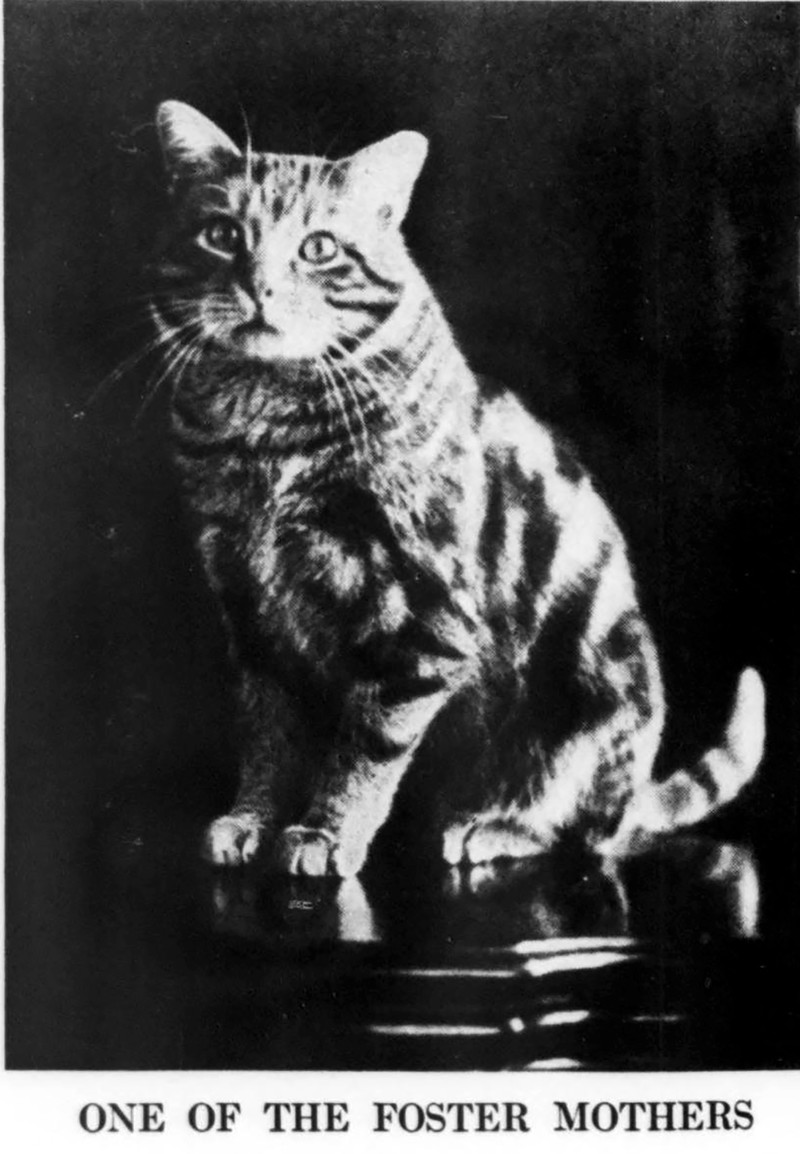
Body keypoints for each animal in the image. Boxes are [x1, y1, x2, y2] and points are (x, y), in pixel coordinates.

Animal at [148, 100, 765, 877]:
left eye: (318, 249)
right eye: (223, 235)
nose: (257, 287)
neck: (264, 429)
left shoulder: (422, 619)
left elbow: (366, 750)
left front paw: (325, 834)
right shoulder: (253, 614)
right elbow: (269, 737)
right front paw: (251, 818)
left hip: (594, 688)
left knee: (586, 826)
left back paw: (494, 827)